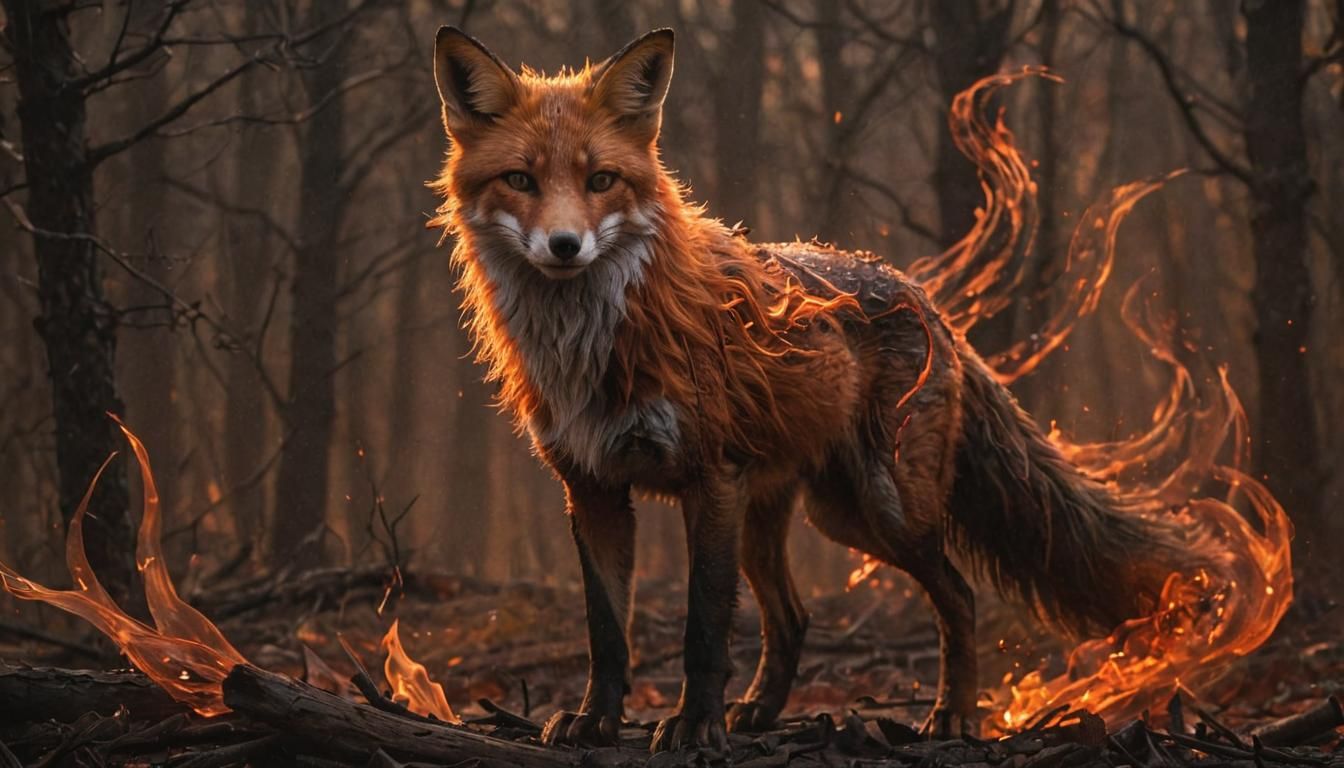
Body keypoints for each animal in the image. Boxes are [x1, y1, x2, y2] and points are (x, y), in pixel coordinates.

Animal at [428, 27, 1208, 750]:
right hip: (796, 518)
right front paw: (595, 720)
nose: (565, 246)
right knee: (795, 618)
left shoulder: (709, 478)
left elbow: (703, 629)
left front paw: (695, 727)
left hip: (882, 510)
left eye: (601, 182)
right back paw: (762, 712)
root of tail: (925, 298)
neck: (592, 348)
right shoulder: (592, 489)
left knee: (957, 595)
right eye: (521, 180)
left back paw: (953, 713)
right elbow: (606, 633)